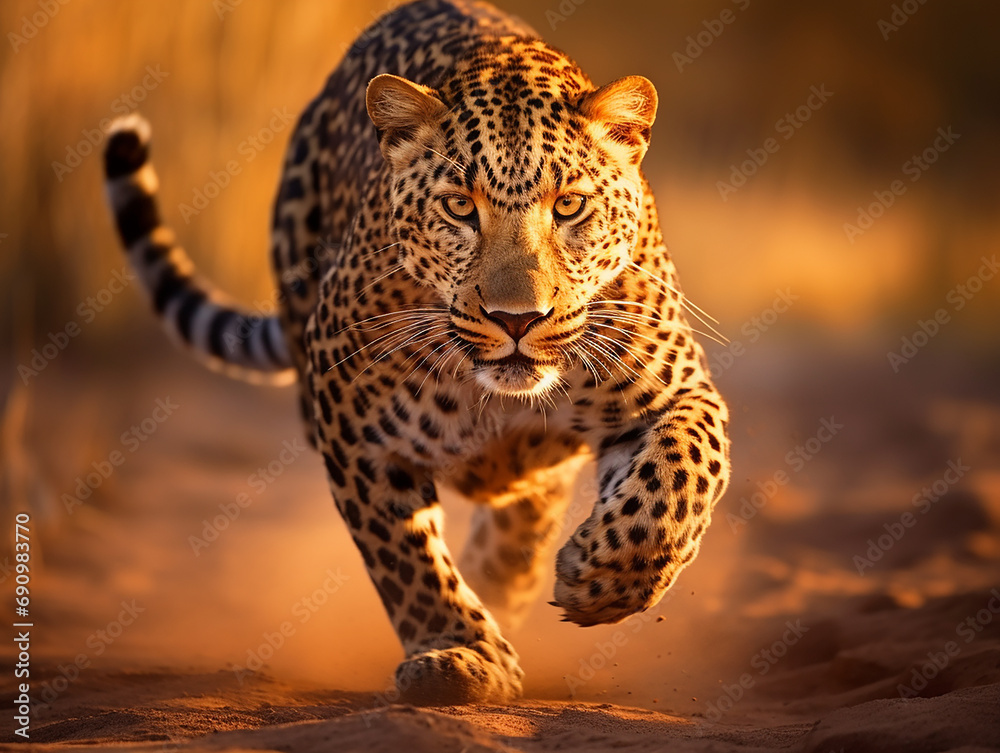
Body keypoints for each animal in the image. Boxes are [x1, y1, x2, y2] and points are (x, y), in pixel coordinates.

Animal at [102, 0, 731, 705]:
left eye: (569, 206)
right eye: (459, 207)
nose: (518, 319)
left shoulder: (678, 388)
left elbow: (682, 475)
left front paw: (609, 577)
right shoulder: (352, 427)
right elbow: (406, 559)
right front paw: (460, 653)